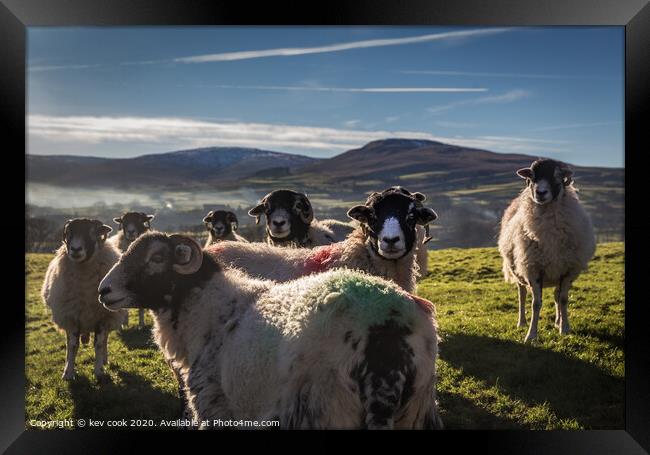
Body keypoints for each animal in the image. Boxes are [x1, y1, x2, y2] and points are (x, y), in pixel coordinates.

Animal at [40, 217, 125, 382]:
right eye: (68, 233)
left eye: (93, 232)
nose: (75, 249)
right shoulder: (72, 317)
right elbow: (72, 345)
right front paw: (68, 373)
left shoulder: (102, 317)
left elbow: (99, 344)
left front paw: (99, 371)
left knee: (105, 339)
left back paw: (104, 359)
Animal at [97, 233, 440, 430]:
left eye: (156, 258)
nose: (103, 290)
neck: (209, 310)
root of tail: (385, 326)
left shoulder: (216, 406)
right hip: (415, 412)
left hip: (320, 411)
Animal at [498, 160, 596, 342]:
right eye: (532, 176)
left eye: (557, 176)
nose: (540, 193)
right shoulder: (533, 269)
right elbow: (536, 303)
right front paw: (531, 335)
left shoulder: (568, 269)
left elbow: (563, 299)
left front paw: (564, 328)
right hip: (518, 271)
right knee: (522, 294)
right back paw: (522, 322)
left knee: (557, 295)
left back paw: (558, 321)